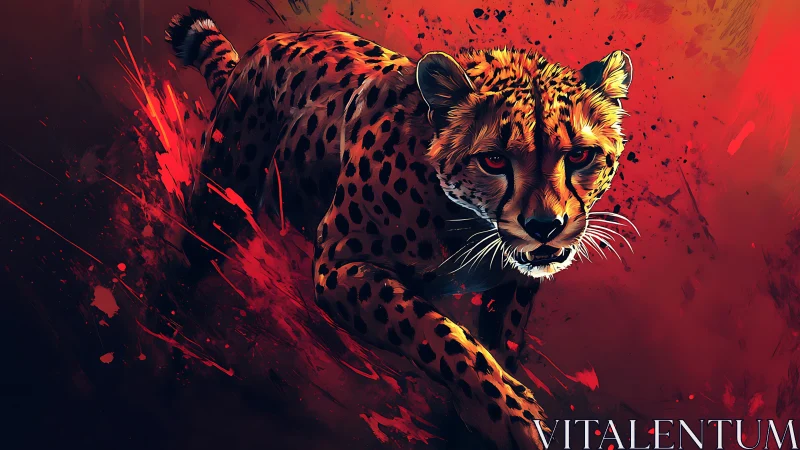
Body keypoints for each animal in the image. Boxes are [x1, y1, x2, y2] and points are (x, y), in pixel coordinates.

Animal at [166, 8, 633, 450]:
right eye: (494, 160)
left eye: (580, 156)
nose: (545, 226)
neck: (468, 222)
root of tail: (275, 40)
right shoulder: (340, 265)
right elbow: (438, 333)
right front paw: (513, 416)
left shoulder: (514, 287)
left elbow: (500, 343)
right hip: (219, 196)